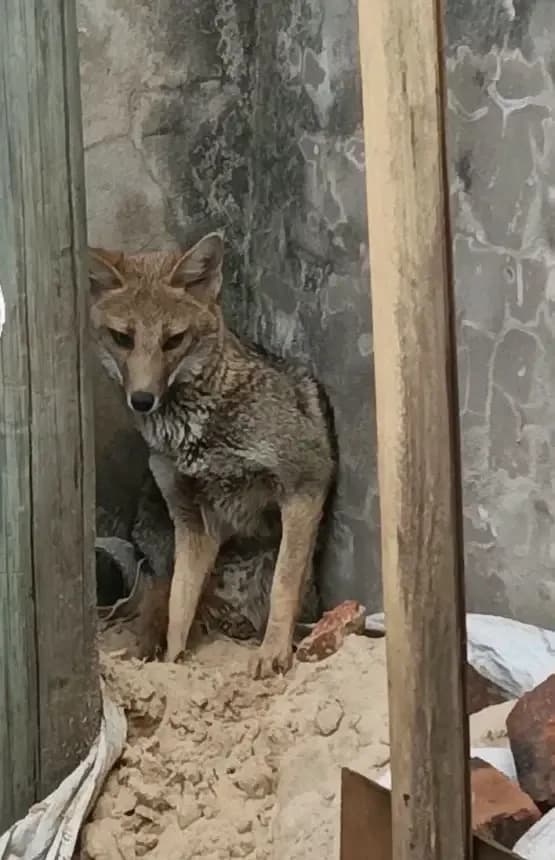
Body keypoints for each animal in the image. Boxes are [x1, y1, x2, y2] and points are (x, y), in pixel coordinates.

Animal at [88, 232, 336, 678]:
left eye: (173, 340)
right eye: (122, 338)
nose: (142, 400)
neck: (195, 434)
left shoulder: (305, 481)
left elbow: (284, 584)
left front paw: (274, 650)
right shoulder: (193, 521)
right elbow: (178, 611)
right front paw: (172, 664)